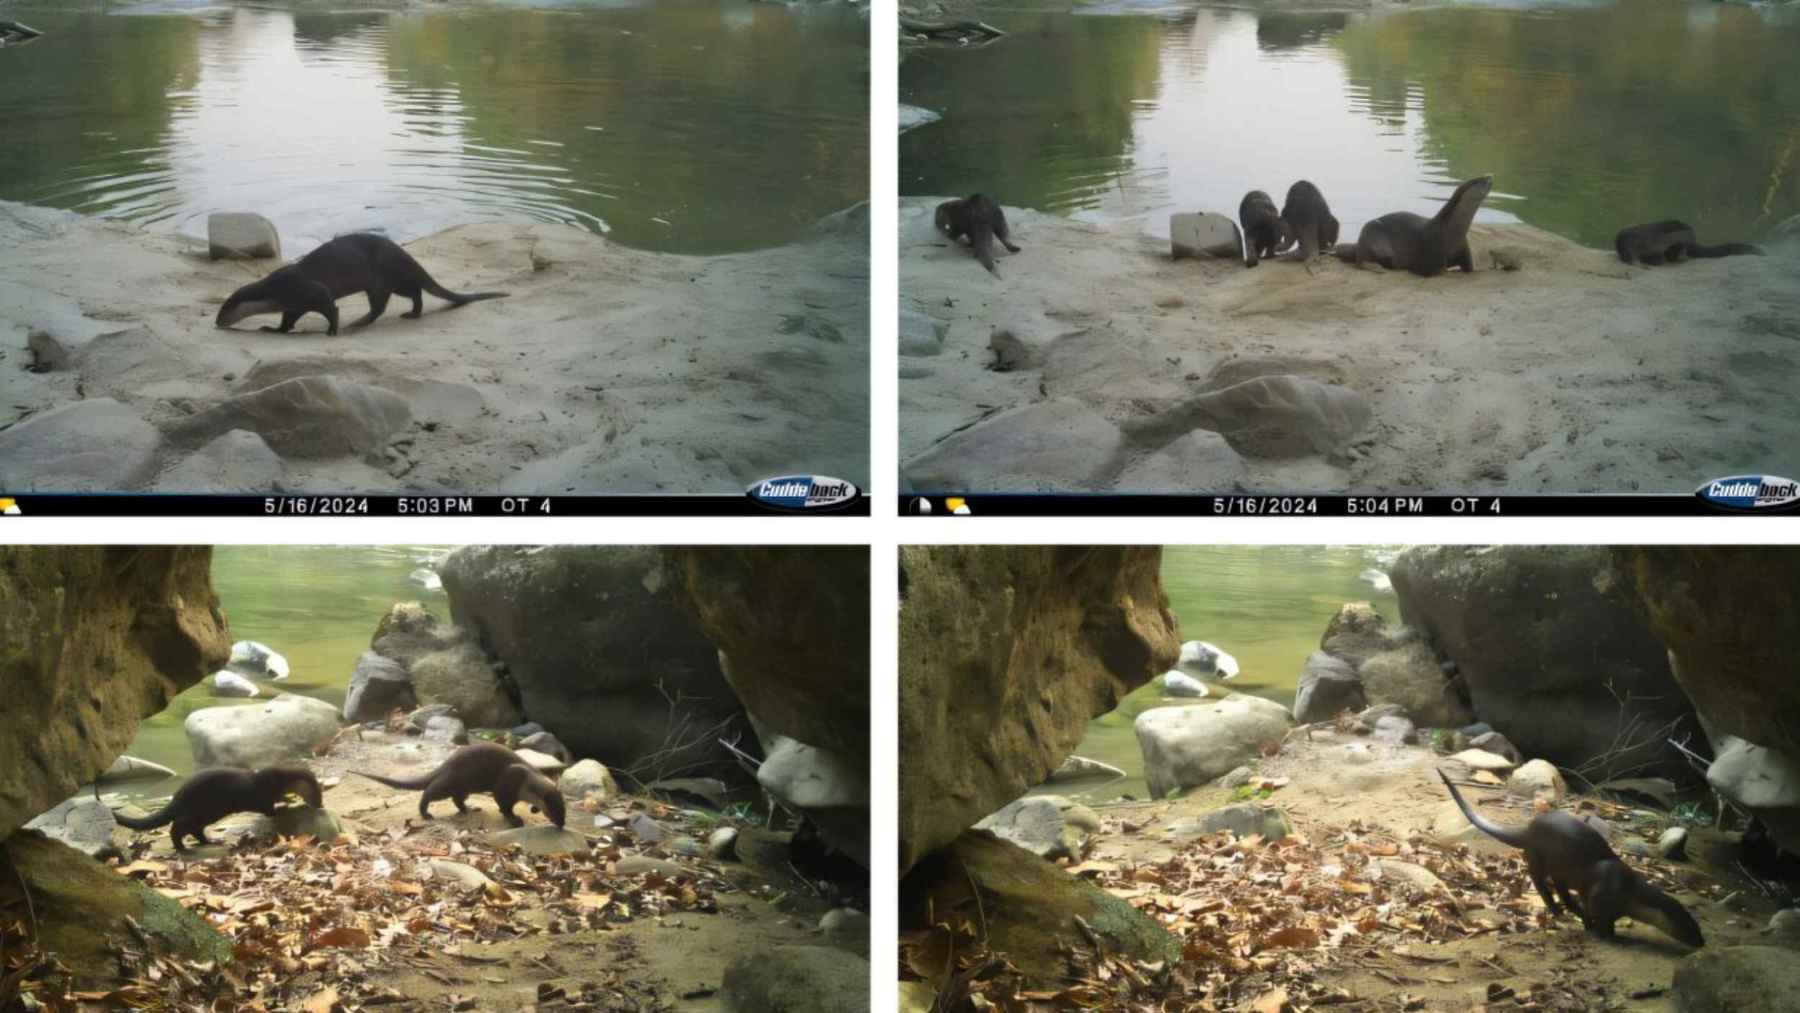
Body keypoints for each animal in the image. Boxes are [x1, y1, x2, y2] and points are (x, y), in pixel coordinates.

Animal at [112, 765, 324, 853]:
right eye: (317, 794)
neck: (278, 781)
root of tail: (179, 793)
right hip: (199, 810)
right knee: (177, 827)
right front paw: (285, 806)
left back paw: (212, 841)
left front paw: (288, 799)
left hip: (205, 815)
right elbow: (268, 809)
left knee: (195, 830)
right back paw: (183, 848)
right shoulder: (262, 796)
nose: (320, 805)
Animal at [215, 233, 508, 336]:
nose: (217, 323)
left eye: (223, 310)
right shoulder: (294, 304)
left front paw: (332, 330)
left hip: (388, 277)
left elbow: (331, 308)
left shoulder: (309, 290)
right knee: (396, 300)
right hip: (384, 284)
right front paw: (272, 328)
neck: (276, 290)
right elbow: (287, 321)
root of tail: (405, 255)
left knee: (407, 295)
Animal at [353, 741, 564, 828]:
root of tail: (446, 763)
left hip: (463, 787)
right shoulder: (508, 782)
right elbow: (503, 804)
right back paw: (426, 813)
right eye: (555, 810)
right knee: (429, 792)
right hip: (451, 781)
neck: (527, 781)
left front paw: (532, 810)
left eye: (564, 811)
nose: (562, 824)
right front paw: (514, 819)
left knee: (457, 799)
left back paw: (469, 809)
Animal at [1338, 175, 1493, 277]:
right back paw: (1377, 268)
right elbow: (1432, 270)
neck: (1451, 231)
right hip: (1370, 232)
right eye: (1480, 180)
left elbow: (1469, 266)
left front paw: (1478, 270)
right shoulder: (1433, 249)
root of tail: (1358, 243)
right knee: (1360, 261)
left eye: (1485, 176)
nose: (1490, 176)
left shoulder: (1463, 249)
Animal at [1439, 770, 1703, 947]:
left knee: (1561, 888)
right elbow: (1599, 915)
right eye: (1688, 926)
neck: (1629, 893)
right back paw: (1557, 910)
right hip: (1538, 856)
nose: (1701, 942)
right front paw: (1607, 935)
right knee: (1540, 882)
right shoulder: (1602, 894)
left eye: (1697, 926)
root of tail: (1529, 829)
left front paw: (1597, 926)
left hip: (1561, 869)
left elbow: (1597, 912)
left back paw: (1569, 909)